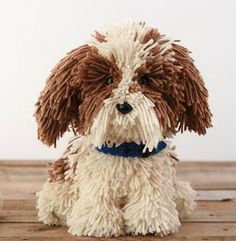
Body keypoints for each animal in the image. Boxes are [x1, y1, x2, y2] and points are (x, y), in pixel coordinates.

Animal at [34, 21, 212, 236]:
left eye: (145, 80)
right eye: (109, 80)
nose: (124, 106)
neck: (125, 150)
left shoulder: (153, 181)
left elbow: (150, 203)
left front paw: (149, 223)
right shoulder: (98, 181)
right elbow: (97, 202)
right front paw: (98, 225)